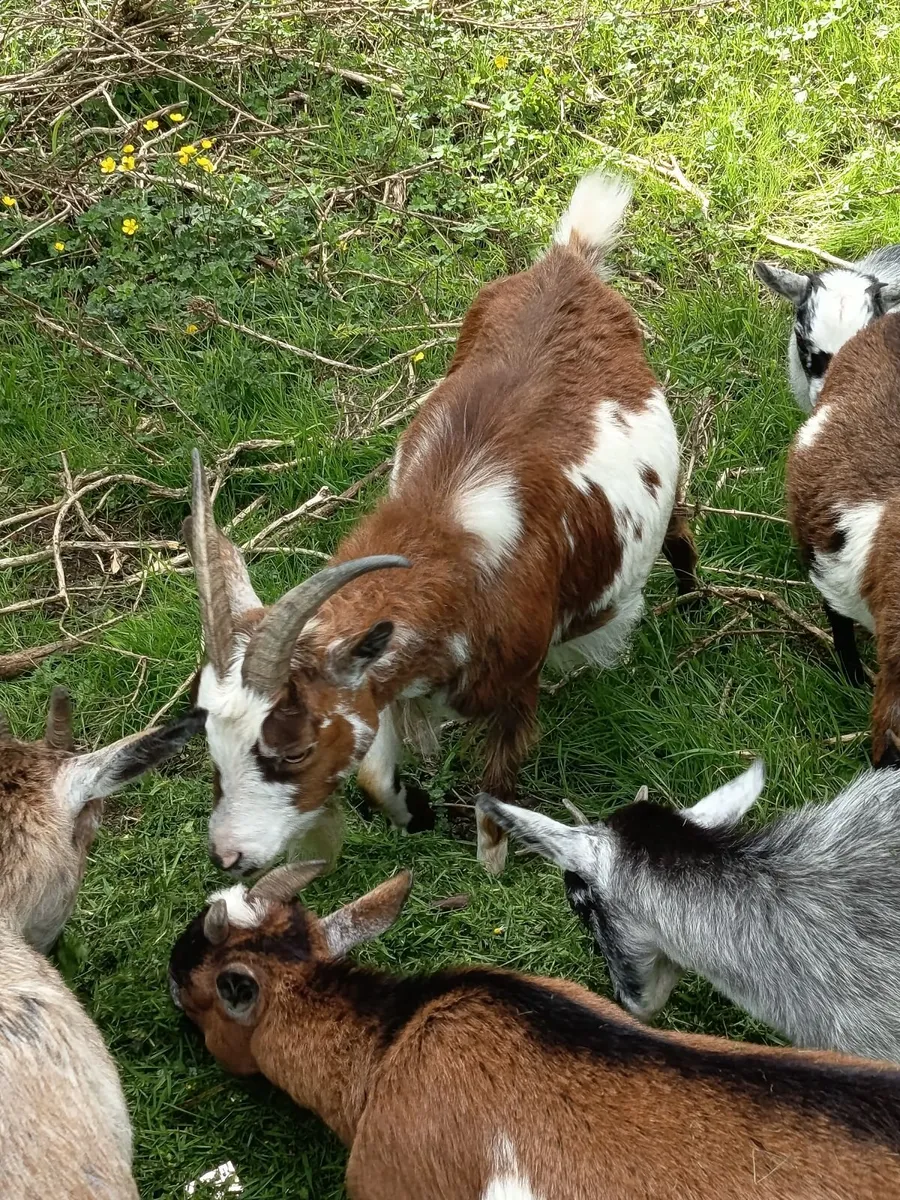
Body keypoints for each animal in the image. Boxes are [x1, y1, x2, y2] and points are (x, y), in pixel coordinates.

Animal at [183, 170, 698, 878]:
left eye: (292, 750)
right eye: (213, 742)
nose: (231, 855)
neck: (449, 543)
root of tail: (569, 261)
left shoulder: (515, 688)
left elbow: (495, 790)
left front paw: (492, 871)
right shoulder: (379, 682)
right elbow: (375, 769)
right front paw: (413, 805)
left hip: (663, 494)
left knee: (681, 531)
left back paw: (694, 605)